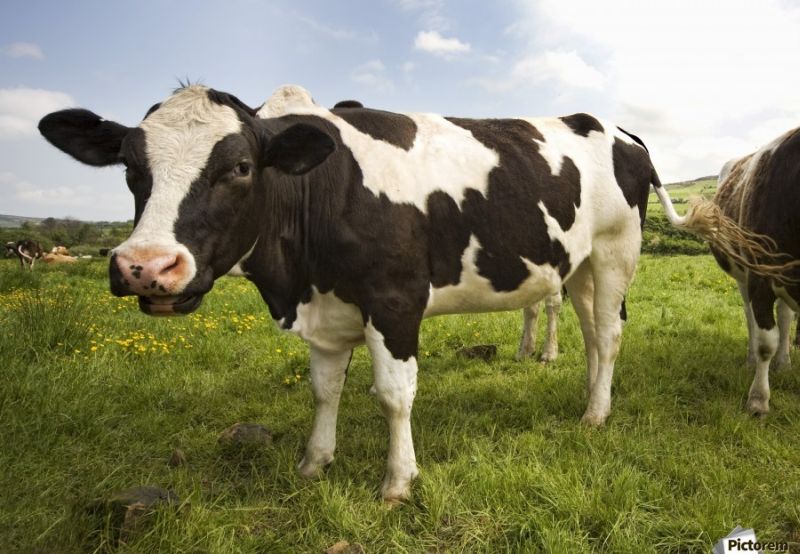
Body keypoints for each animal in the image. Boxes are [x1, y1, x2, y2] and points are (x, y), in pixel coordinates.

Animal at [38, 84, 773, 502]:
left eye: (241, 167)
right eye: (130, 168)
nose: (144, 266)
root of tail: (616, 128)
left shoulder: (394, 301)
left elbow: (394, 394)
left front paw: (397, 482)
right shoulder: (329, 306)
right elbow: (324, 389)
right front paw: (313, 463)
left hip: (620, 249)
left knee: (613, 333)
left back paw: (597, 415)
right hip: (581, 263)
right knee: (594, 333)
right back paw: (590, 401)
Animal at [712, 127, 800, 415]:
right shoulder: (760, 279)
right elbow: (765, 343)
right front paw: (758, 399)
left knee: (784, 316)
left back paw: (784, 362)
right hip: (743, 275)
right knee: (749, 315)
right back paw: (751, 360)